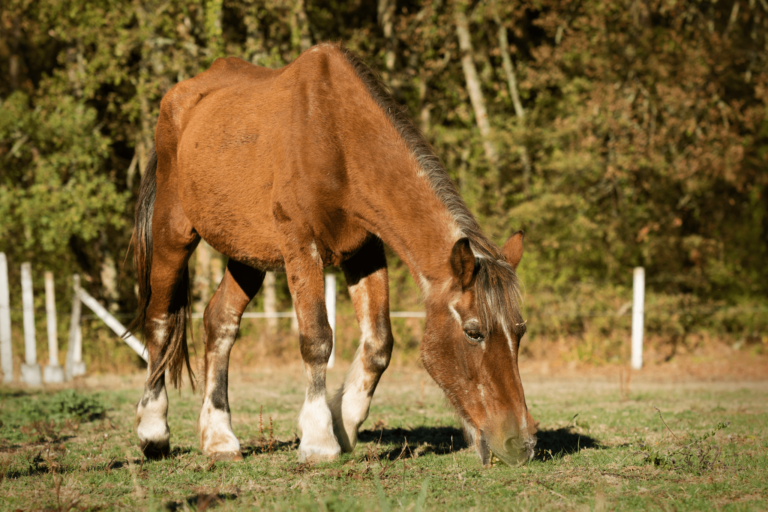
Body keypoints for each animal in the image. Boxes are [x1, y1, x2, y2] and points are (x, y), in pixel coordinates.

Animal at [130, 42, 536, 467]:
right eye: (474, 332)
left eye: (520, 331)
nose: (521, 444)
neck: (337, 137)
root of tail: (179, 97)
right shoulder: (300, 245)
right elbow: (317, 339)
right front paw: (319, 439)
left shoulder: (365, 252)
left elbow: (378, 343)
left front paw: (344, 423)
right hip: (174, 232)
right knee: (159, 320)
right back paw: (153, 431)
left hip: (247, 254)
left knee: (220, 323)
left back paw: (219, 438)